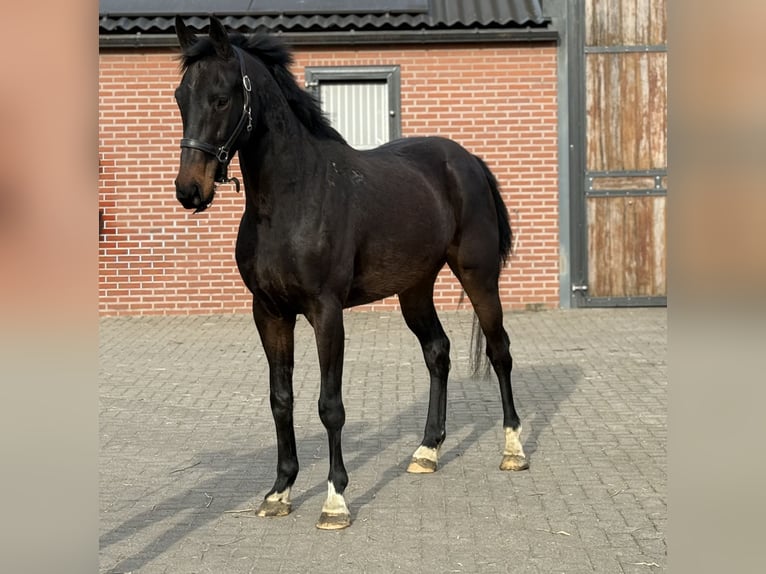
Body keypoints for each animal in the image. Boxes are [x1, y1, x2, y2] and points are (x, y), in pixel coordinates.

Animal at [172, 16, 528, 530]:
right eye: (181, 97)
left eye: (221, 98)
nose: (189, 190)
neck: (292, 199)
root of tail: (467, 161)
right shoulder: (270, 313)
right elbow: (281, 399)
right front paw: (279, 491)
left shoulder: (326, 312)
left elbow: (330, 404)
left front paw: (335, 499)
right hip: (414, 288)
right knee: (437, 352)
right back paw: (426, 451)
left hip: (478, 276)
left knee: (500, 352)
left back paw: (513, 449)